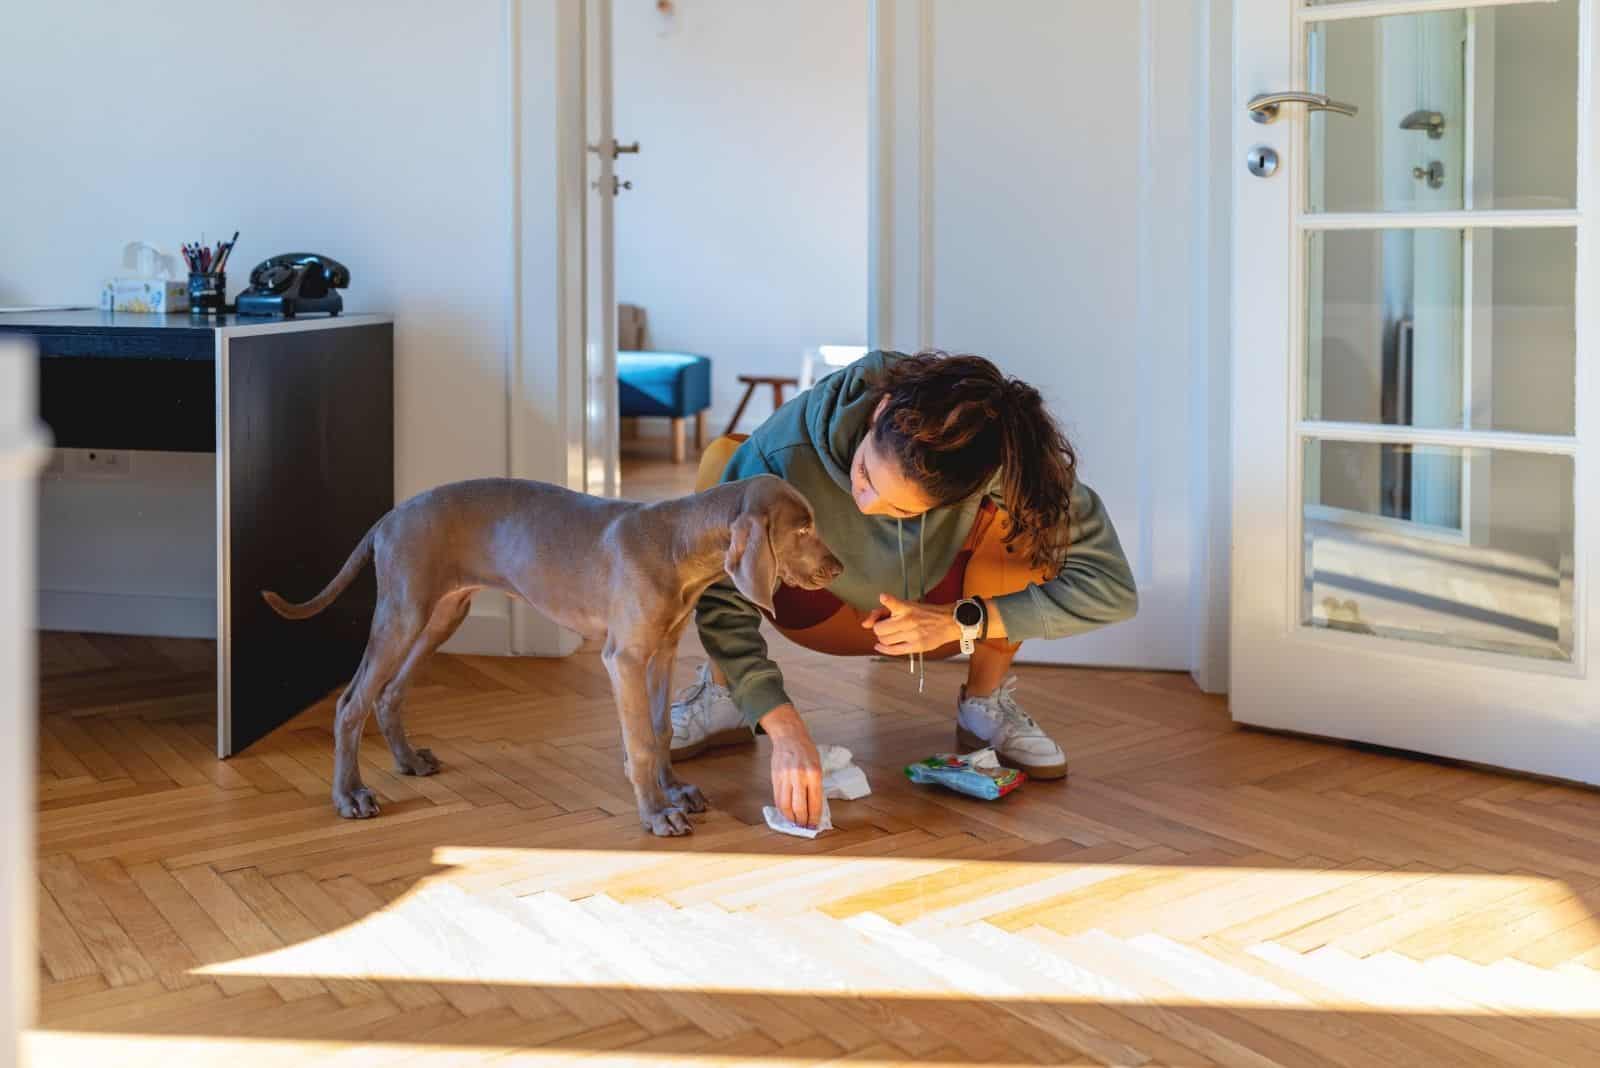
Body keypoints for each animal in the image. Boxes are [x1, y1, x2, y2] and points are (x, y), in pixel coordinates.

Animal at [260, 473, 838, 831]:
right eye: (804, 528)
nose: (838, 568)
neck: (677, 542)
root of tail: (389, 518)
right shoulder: (625, 658)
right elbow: (640, 742)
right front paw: (656, 813)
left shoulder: (662, 652)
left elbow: (659, 729)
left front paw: (674, 790)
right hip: (403, 614)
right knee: (351, 702)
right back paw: (350, 795)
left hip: (441, 615)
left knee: (390, 693)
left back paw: (407, 760)